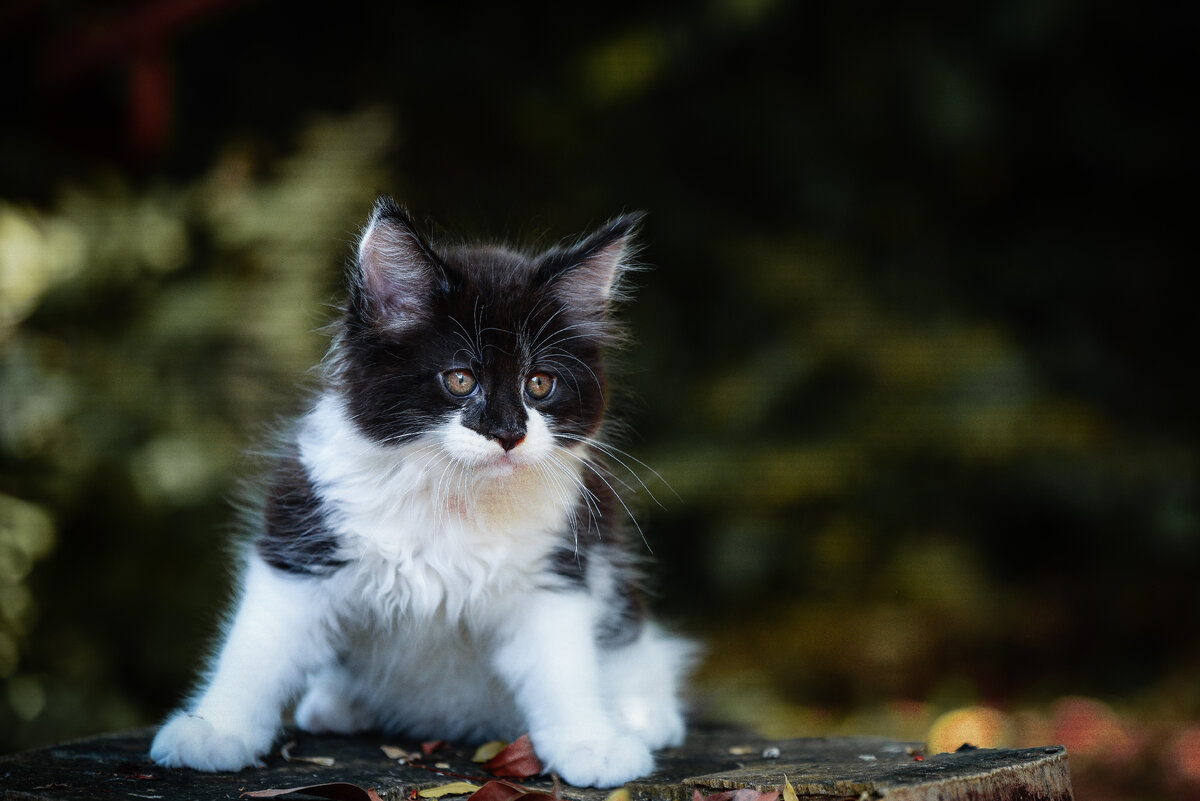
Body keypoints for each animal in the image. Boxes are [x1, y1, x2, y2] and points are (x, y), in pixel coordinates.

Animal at [150, 196, 696, 786]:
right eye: (459, 380)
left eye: (539, 384)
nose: (509, 432)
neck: (454, 494)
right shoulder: (301, 541)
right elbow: (257, 649)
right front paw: (215, 729)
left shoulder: (558, 569)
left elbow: (563, 666)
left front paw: (591, 741)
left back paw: (642, 714)